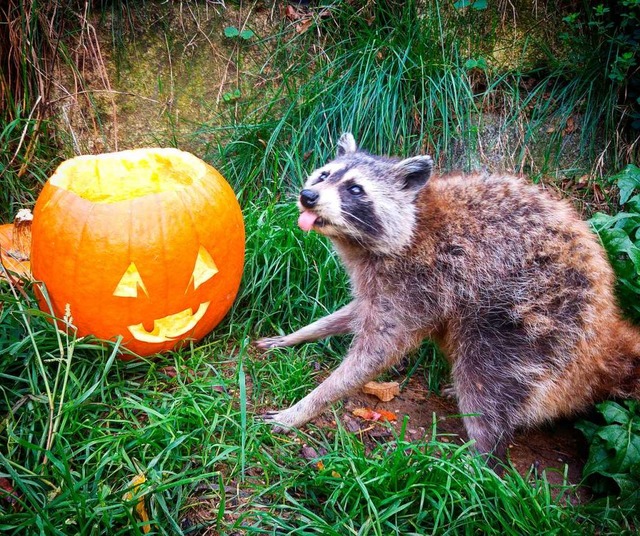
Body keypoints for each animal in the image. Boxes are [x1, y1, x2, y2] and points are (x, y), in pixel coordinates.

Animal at [255, 132, 640, 458]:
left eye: (355, 189)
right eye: (323, 175)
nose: (308, 196)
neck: (413, 220)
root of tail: (603, 335)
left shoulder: (419, 280)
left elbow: (376, 353)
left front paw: (306, 406)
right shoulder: (384, 285)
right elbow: (354, 312)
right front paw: (299, 335)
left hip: (535, 321)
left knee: (486, 375)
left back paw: (480, 460)